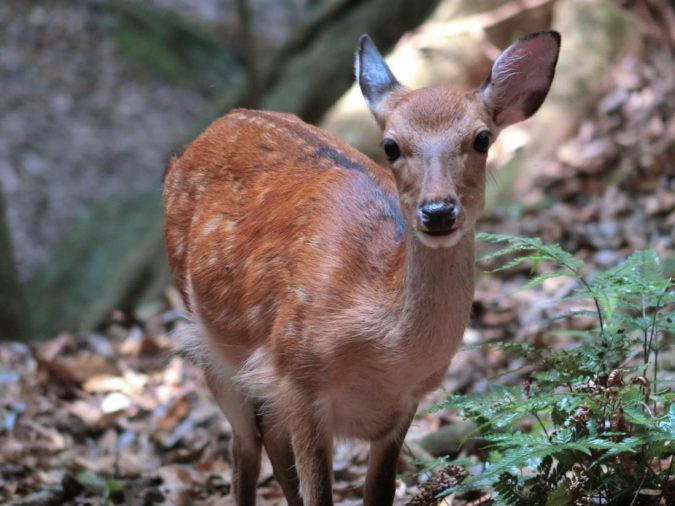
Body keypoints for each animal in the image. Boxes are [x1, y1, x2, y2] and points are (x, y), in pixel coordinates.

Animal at [162, 29, 560, 504]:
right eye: (390, 145)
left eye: (482, 138)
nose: (438, 211)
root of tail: (215, 126)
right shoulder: (297, 377)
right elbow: (318, 494)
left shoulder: (406, 401)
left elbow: (378, 492)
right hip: (212, 346)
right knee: (243, 449)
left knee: (268, 440)